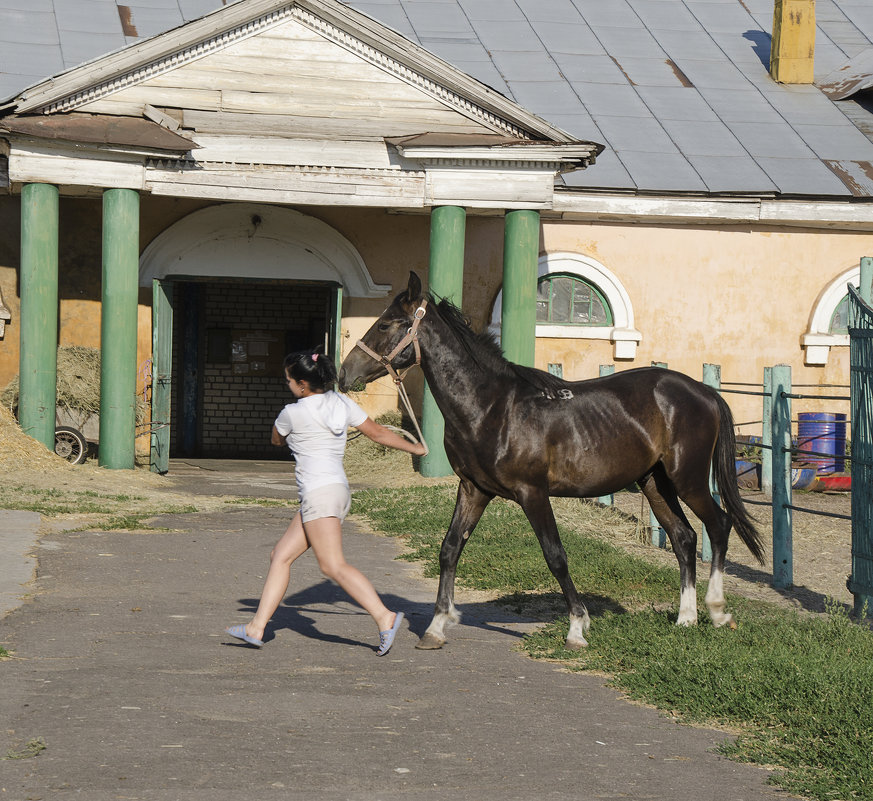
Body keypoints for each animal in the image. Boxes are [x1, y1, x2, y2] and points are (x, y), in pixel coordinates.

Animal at [338, 272, 760, 648]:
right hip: (655, 482)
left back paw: (717, 611)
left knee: (719, 526)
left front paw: (577, 628)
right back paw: (685, 619)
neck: (492, 407)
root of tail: (703, 391)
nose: (344, 373)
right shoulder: (473, 490)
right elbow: (450, 549)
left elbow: (555, 555)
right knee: (684, 537)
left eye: (386, 324)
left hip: (688, 479)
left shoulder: (533, 493)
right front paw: (436, 628)